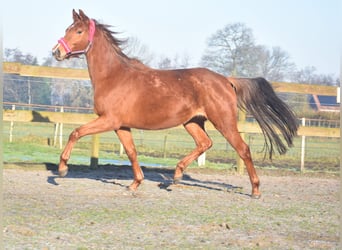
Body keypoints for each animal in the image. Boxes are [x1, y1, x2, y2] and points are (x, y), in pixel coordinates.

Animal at [52, 9, 298, 198]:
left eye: (79, 31)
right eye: (66, 30)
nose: (57, 51)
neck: (114, 76)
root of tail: (226, 80)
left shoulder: (109, 120)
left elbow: (75, 132)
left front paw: (62, 170)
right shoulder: (121, 125)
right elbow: (131, 152)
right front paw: (135, 184)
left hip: (223, 121)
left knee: (243, 149)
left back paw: (255, 190)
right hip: (192, 122)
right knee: (205, 143)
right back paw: (176, 175)